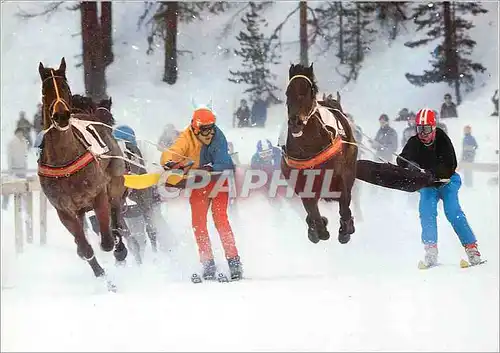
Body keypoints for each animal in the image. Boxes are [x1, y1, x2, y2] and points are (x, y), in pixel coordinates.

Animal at [37, 58, 130, 284]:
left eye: (66, 88)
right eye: (45, 92)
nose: (61, 116)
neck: (65, 161)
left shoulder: (98, 194)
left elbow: (107, 240)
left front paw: (116, 249)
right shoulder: (64, 210)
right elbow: (84, 248)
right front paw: (103, 277)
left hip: (115, 182)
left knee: (115, 214)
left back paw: (120, 248)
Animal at [280, 63, 358, 243]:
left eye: (309, 91)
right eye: (288, 92)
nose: (295, 122)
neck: (310, 148)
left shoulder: (341, 176)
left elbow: (344, 204)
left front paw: (345, 229)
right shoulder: (302, 184)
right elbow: (312, 211)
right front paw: (319, 229)